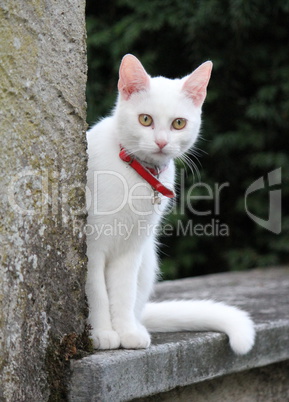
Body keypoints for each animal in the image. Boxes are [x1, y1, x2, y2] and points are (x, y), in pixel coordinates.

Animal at [86, 53, 254, 354]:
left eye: (178, 123)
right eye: (145, 119)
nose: (162, 142)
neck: (137, 173)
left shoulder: (131, 248)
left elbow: (123, 292)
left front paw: (126, 332)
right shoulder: (92, 247)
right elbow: (97, 292)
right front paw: (103, 332)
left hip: (147, 258)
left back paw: (137, 325)